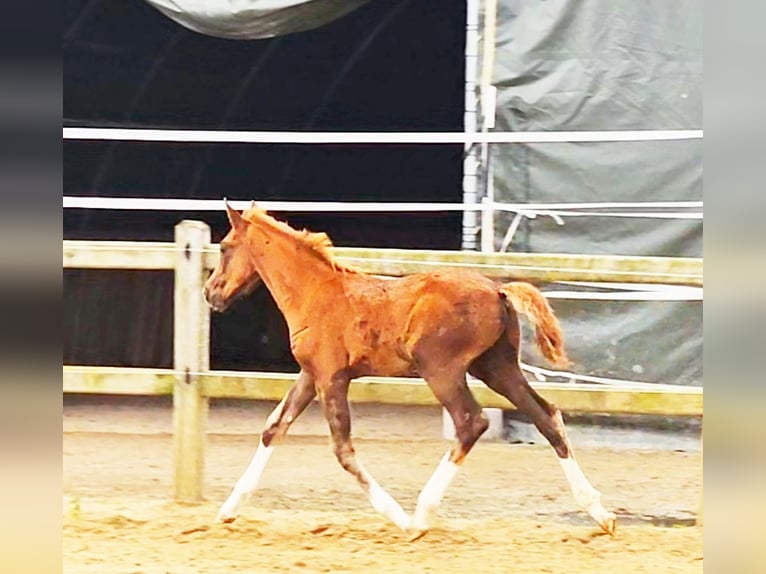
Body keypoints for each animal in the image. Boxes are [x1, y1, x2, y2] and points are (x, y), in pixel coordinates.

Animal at [204, 202, 616, 540]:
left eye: (224, 247)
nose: (211, 293)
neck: (317, 293)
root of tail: (498, 292)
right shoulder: (311, 375)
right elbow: (274, 428)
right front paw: (227, 511)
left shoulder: (331, 378)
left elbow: (342, 450)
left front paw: (399, 519)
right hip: (497, 367)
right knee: (546, 415)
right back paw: (601, 513)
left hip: (442, 370)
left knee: (472, 421)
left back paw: (421, 514)